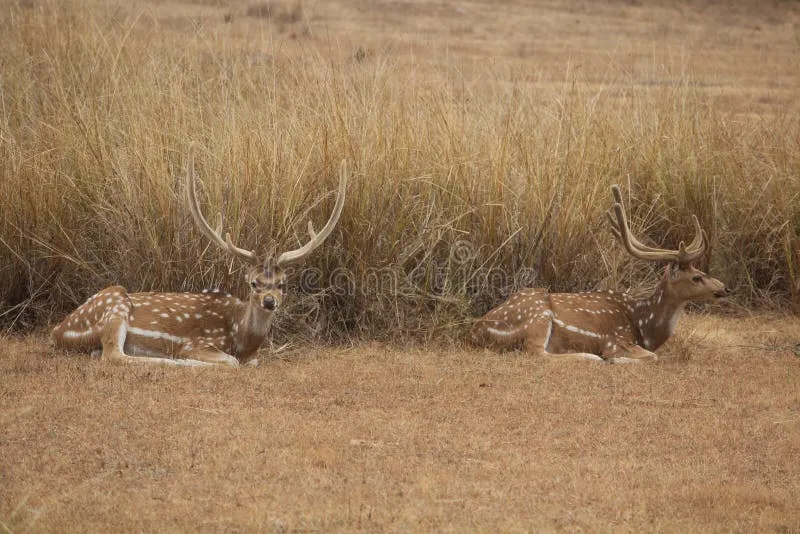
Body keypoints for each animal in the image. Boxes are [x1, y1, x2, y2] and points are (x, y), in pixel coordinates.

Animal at [50, 153, 346, 366]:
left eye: (283, 284)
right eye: (254, 283)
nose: (269, 301)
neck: (242, 339)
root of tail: (57, 332)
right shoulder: (198, 342)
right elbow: (229, 361)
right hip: (114, 303)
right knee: (114, 355)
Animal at [472, 185, 728, 364]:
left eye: (701, 271)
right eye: (696, 277)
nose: (724, 288)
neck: (644, 324)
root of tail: (477, 329)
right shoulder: (616, 340)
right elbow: (650, 357)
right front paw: (613, 359)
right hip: (537, 316)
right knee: (535, 352)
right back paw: (590, 357)